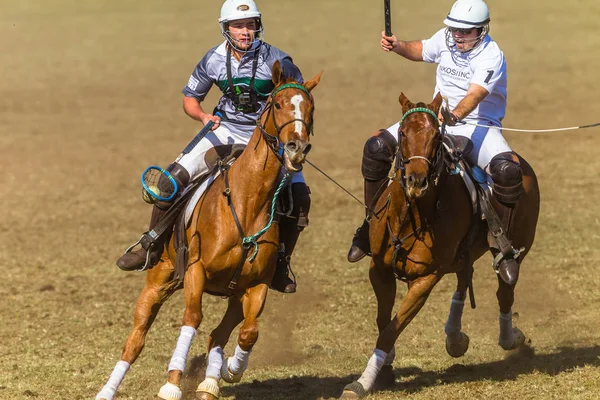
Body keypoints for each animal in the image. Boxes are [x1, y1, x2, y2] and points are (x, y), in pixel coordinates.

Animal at [97, 60, 324, 400]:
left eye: (310, 106)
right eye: (277, 104)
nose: (297, 149)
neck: (247, 202)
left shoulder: (256, 285)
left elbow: (248, 332)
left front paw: (229, 369)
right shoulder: (195, 271)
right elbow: (192, 319)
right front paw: (172, 383)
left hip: (233, 293)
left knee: (220, 333)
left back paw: (210, 381)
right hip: (159, 278)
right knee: (135, 341)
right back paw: (107, 390)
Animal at [340, 93, 540, 396]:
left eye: (436, 135)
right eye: (402, 132)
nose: (416, 181)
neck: (411, 215)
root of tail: (526, 167)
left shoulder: (426, 278)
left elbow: (390, 330)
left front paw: (361, 382)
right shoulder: (379, 269)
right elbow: (384, 322)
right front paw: (385, 368)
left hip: (518, 244)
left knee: (504, 288)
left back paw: (510, 336)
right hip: (462, 253)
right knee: (464, 277)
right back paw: (455, 336)